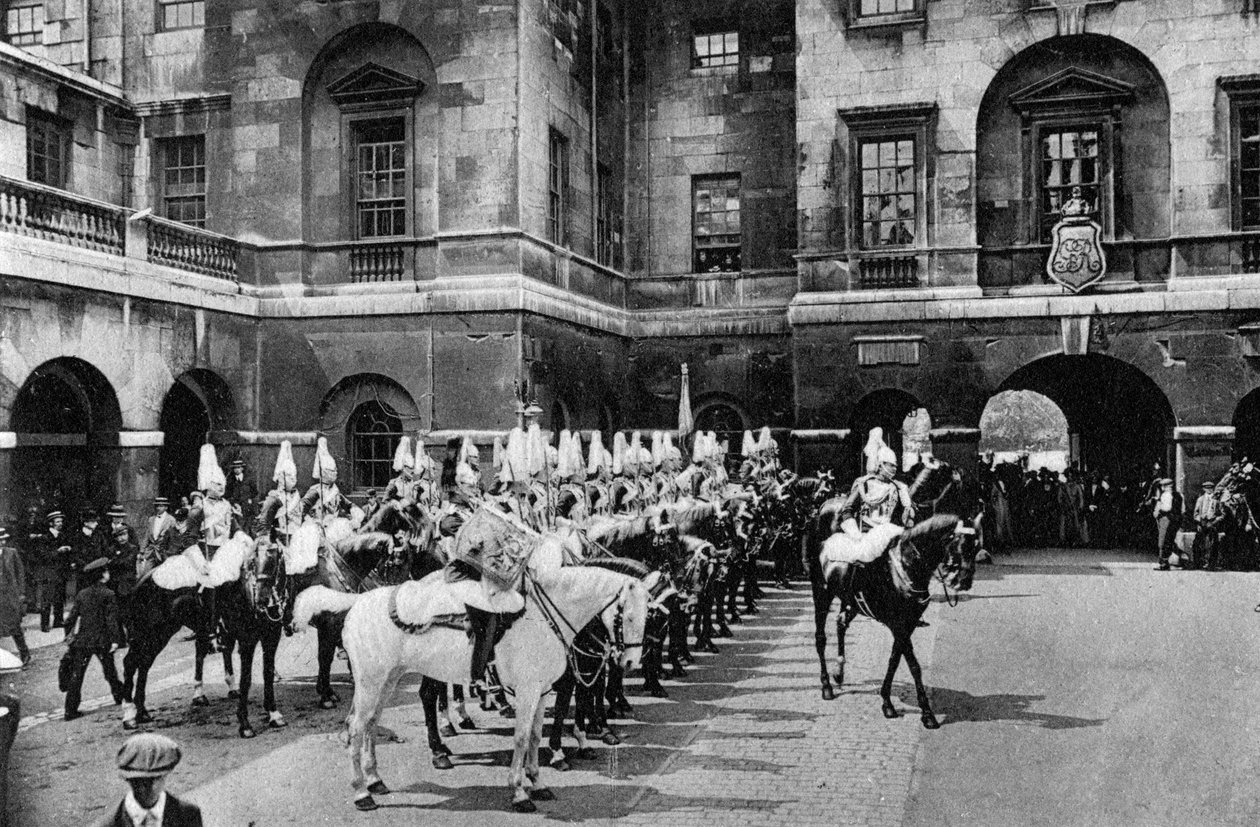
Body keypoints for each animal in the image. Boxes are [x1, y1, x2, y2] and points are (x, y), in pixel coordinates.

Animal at [304, 526, 655, 811]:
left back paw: (376, 780)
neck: (544, 615)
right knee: (356, 727)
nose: (629, 662)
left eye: (648, 614)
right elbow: (521, 738)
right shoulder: (528, 691)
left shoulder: (541, 692)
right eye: (628, 615)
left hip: (386, 680)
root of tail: (357, 603)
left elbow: (535, 736)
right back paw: (362, 792)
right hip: (370, 682)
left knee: (370, 724)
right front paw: (519, 792)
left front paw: (538, 783)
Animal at [801, 468, 967, 726]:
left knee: (840, 623)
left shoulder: (906, 623)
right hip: (821, 594)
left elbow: (895, 659)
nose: (964, 580)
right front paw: (926, 713)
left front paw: (888, 701)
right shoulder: (897, 623)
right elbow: (912, 664)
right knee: (820, 638)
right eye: (955, 545)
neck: (906, 565)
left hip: (851, 601)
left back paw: (839, 673)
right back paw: (827, 685)